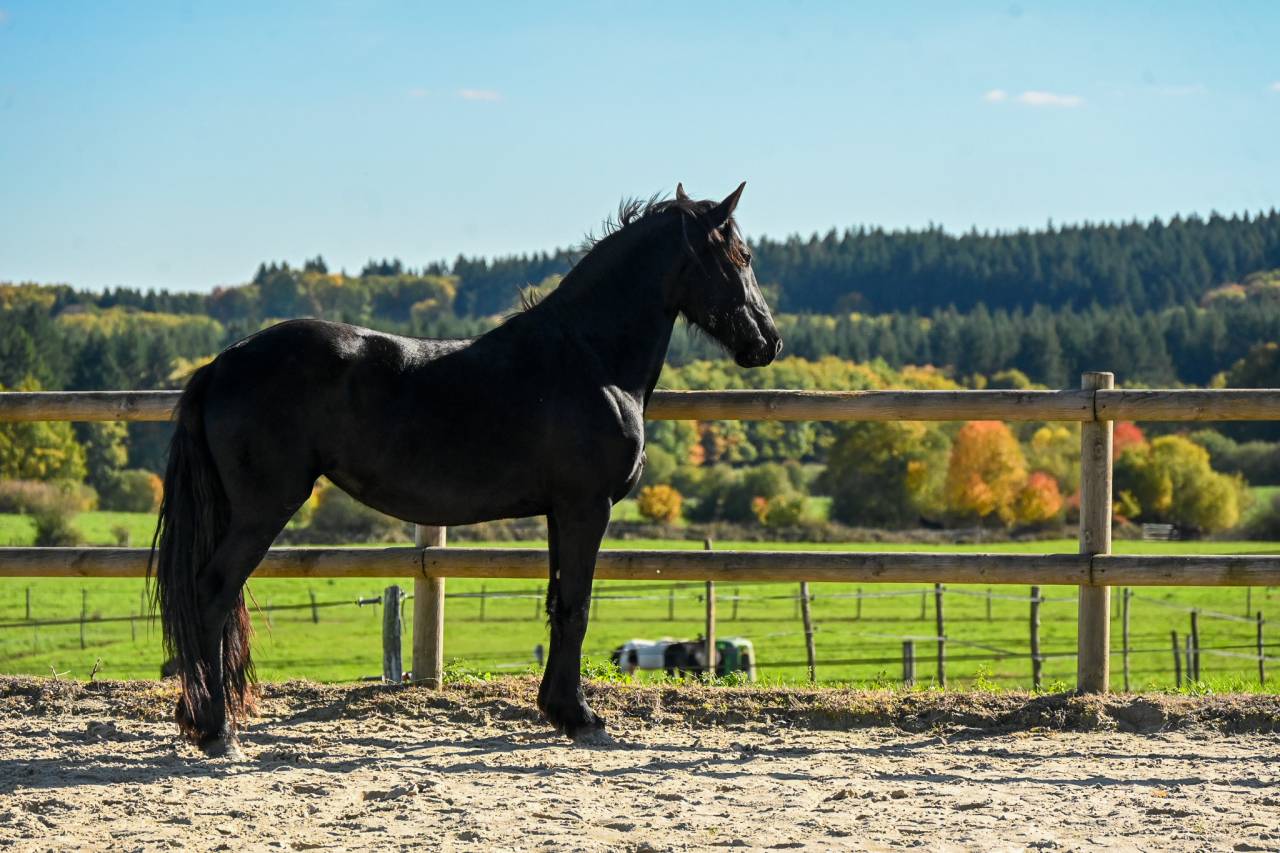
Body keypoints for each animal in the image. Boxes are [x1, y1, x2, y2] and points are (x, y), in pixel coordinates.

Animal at [151, 182, 781, 755]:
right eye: (742, 257)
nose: (768, 342)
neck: (588, 359)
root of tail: (222, 363)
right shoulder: (587, 507)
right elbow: (577, 607)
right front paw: (581, 718)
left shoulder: (560, 512)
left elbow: (558, 604)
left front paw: (558, 710)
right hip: (263, 509)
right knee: (211, 593)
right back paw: (218, 732)